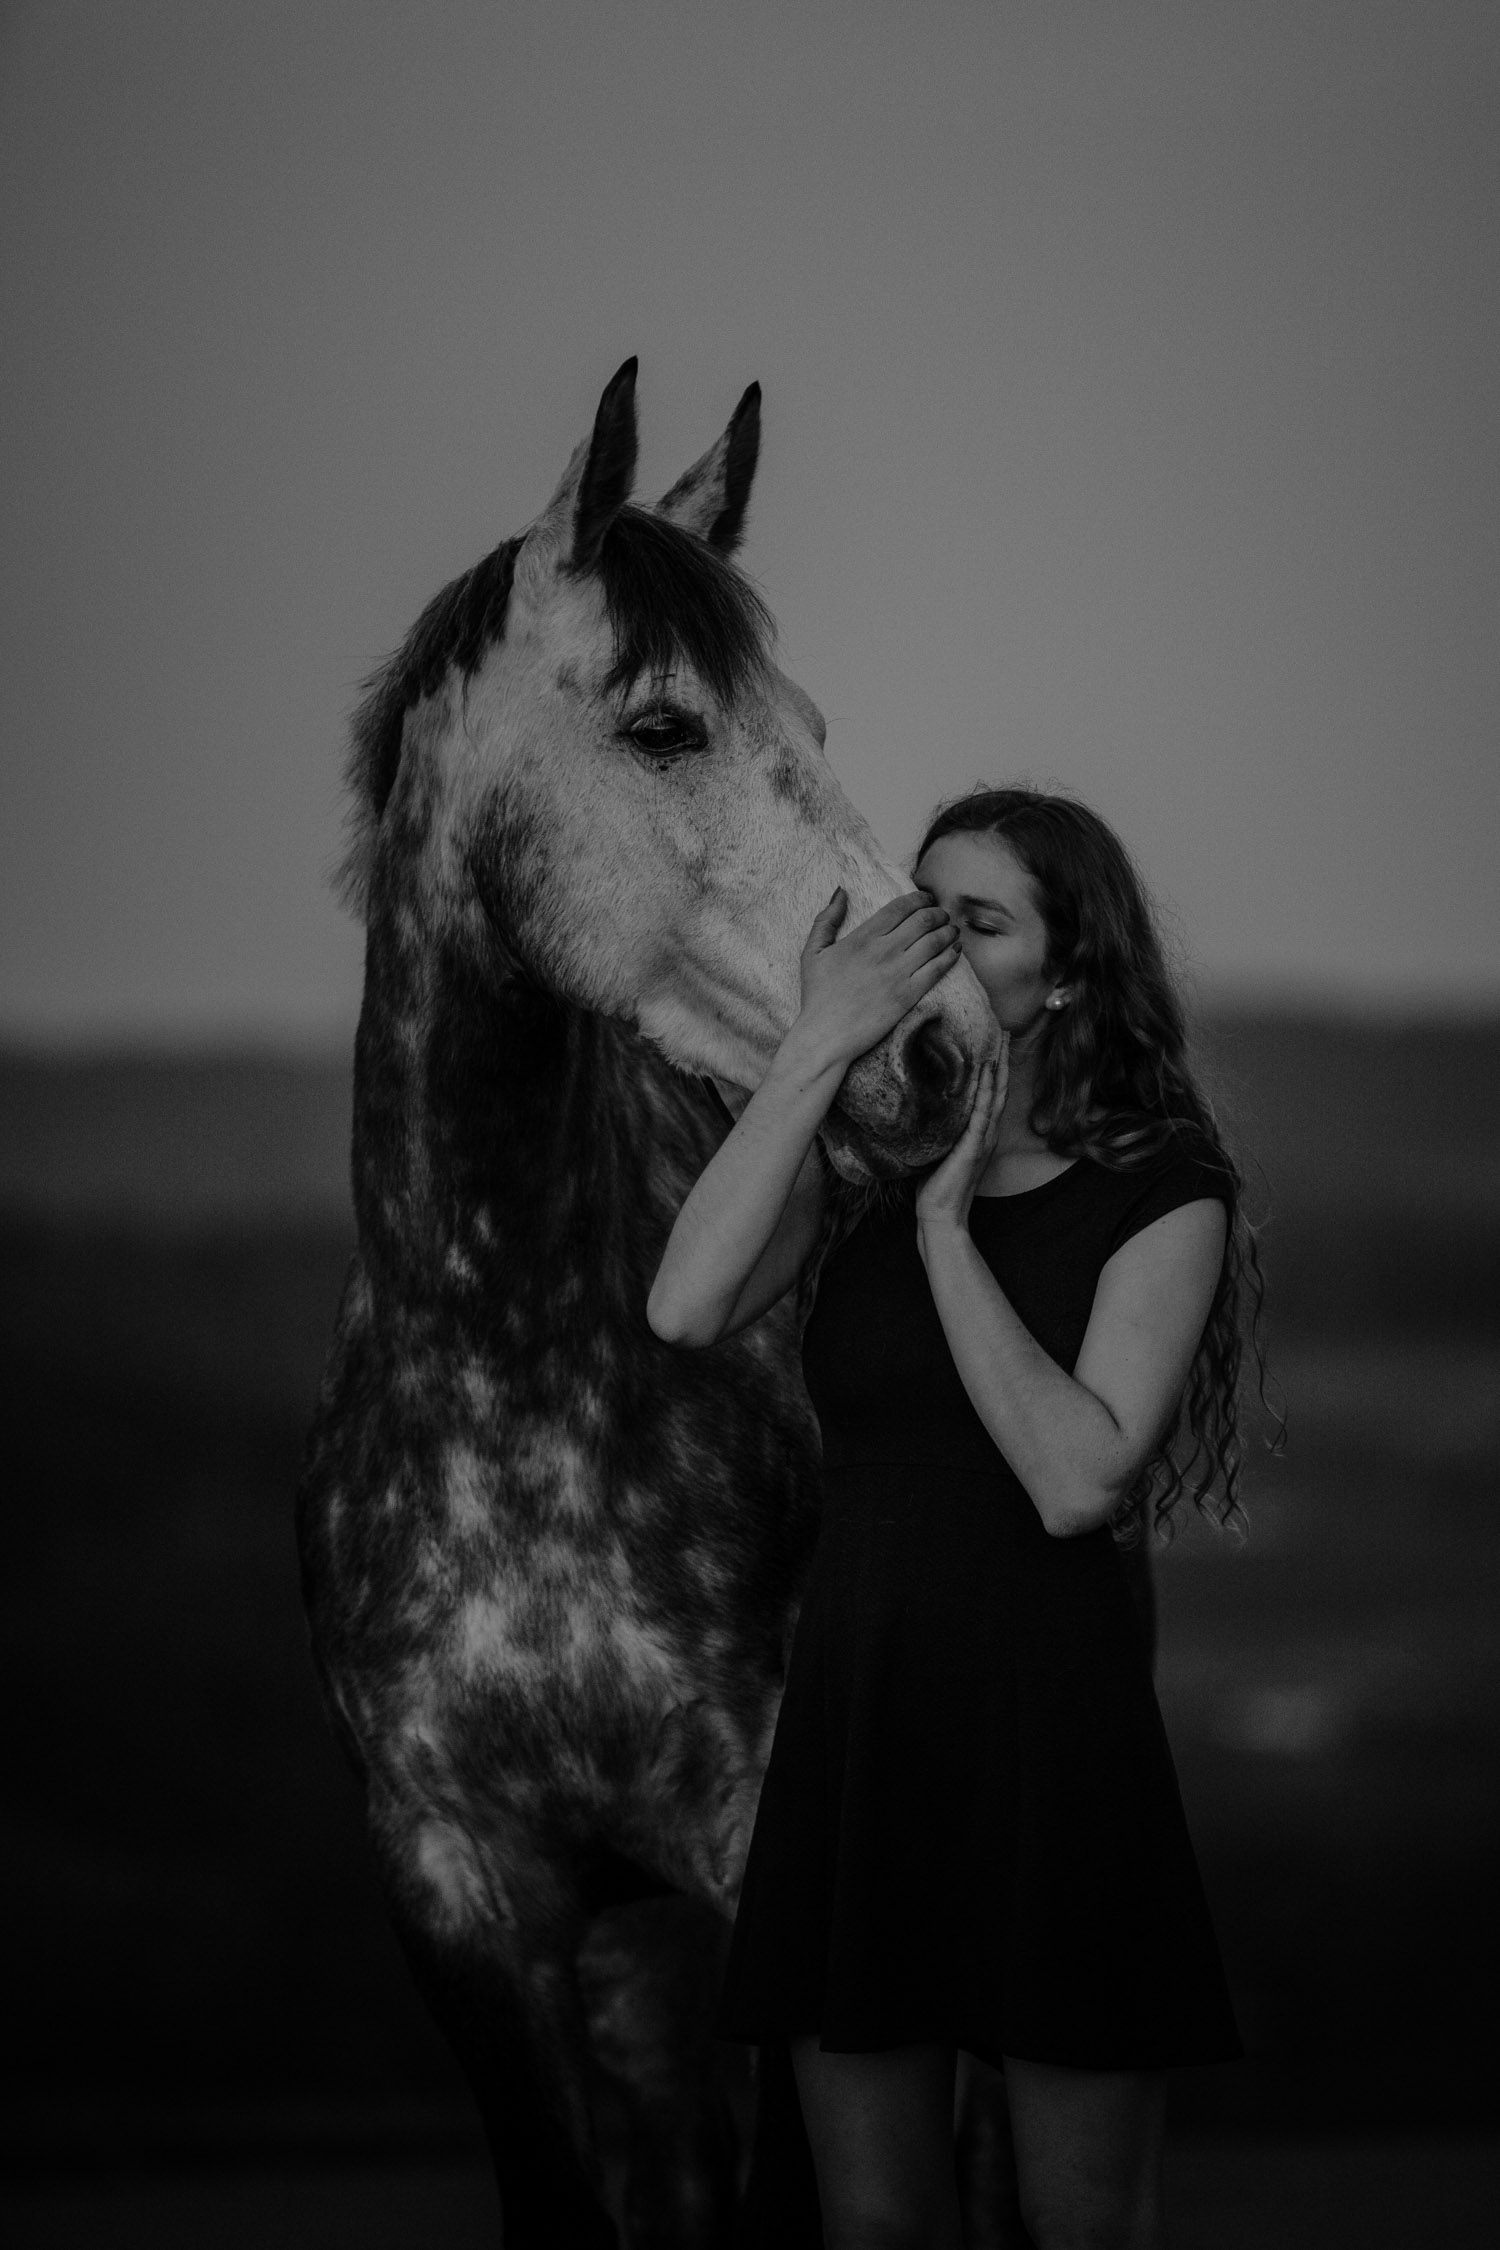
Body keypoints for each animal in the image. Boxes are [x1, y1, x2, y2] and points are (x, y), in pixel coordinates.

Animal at [296, 360, 1002, 2241]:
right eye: (667, 726)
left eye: (812, 721)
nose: (947, 1050)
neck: (514, 1388)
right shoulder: (462, 1894)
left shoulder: (769, 1859)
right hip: (639, 1976)